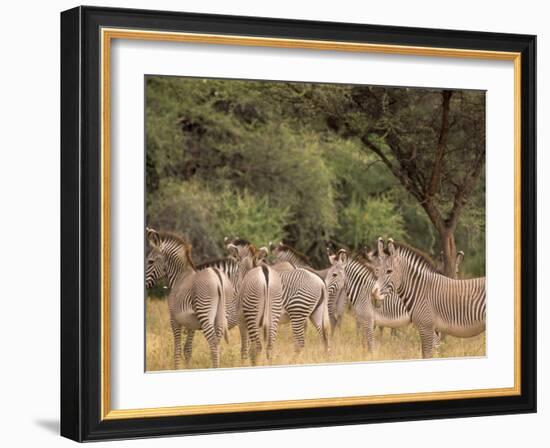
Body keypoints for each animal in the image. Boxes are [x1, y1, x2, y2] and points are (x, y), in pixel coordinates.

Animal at [146, 229, 232, 370]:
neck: (179, 278)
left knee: (213, 343)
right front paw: (187, 368)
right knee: (217, 343)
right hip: (220, 315)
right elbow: (187, 349)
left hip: (205, 313)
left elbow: (177, 349)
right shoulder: (191, 323)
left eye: (150, 262)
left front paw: (176, 368)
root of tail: (217, 276)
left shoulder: (174, 319)